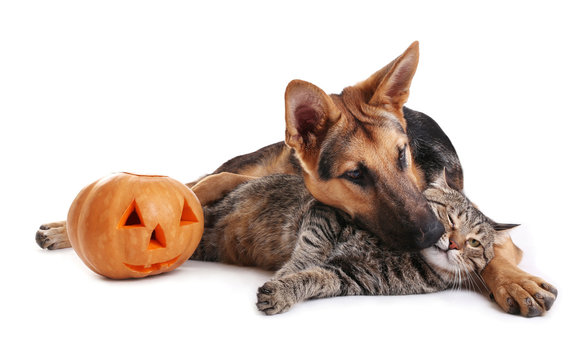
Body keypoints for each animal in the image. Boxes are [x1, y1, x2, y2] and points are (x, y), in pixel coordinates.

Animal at [192, 173, 516, 314]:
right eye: (449, 217)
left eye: (474, 242)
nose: (455, 245)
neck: (408, 255)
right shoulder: (325, 214)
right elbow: (307, 253)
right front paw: (286, 275)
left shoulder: (351, 277)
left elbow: (315, 276)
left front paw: (285, 290)